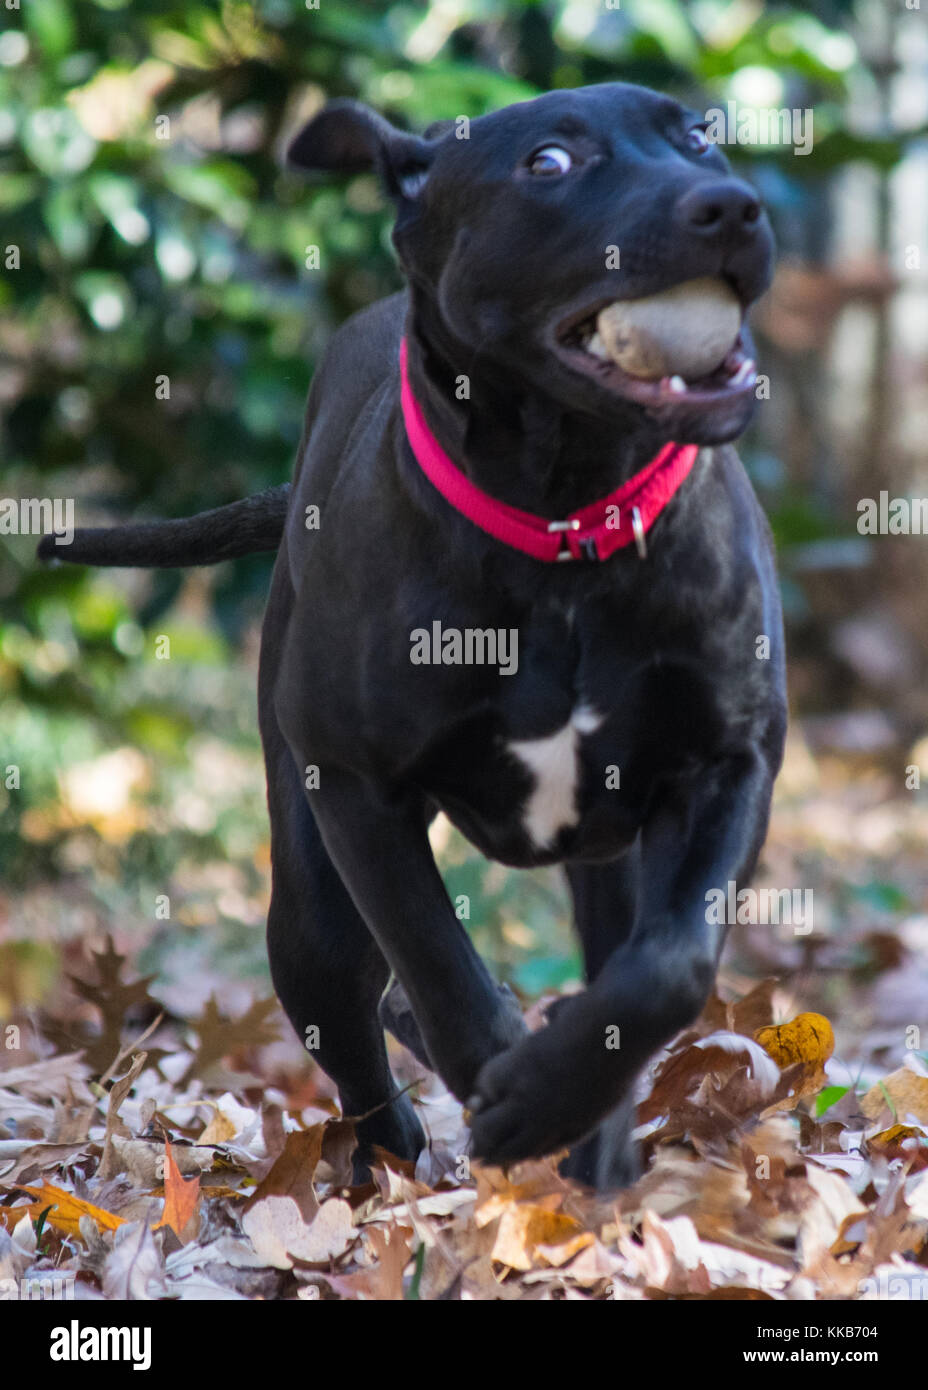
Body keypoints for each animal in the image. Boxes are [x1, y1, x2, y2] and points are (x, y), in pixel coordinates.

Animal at [41, 84, 783, 1184]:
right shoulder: (359, 789)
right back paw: (395, 1158)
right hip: (308, 899)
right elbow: (438, 964)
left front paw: (550, 1101)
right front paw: (505, 1089)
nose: (730, 206)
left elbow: (668, 967)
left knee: (607, 972)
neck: (564, 527)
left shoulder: (729, 759)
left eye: (697, 134)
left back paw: (586, 1164)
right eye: (549, 163)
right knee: (357, 1015)